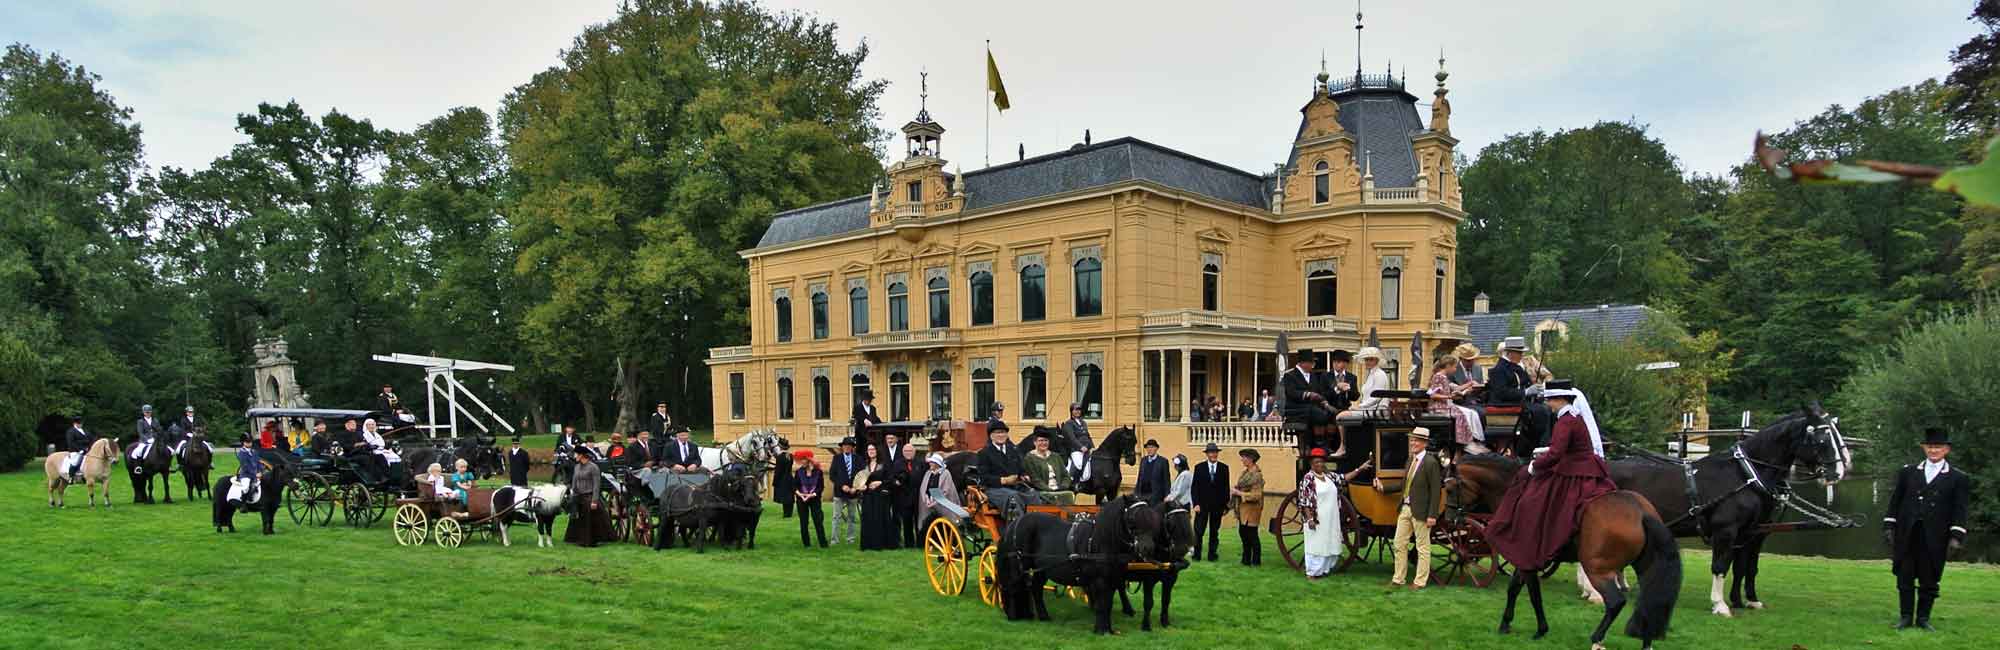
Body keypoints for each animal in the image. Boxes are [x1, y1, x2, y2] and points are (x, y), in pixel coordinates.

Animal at [996, 496, 1168, 632]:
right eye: (1132, 519)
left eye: (1151, 519)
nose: (1147, 548)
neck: (1099, 541)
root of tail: (1015, 522)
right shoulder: (1099, 581)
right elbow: (1101, 605)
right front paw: (1100, 630)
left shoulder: (1112, 580)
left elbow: (1108, 604)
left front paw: (1108, 629)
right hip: (1019, 565)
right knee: (1013, 586)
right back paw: (1013, 616)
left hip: (1041, 569)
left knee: (1036, 588)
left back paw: (1044, 616)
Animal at [1448, 454, 1680, 648]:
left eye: (1449, 489)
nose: (1451, 520)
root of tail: (1641, 512)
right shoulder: (1523, 560)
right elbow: (1513, 589)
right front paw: (1506, 624)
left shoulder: (1528, 559)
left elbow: (1533, 595)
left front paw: (1540, 629)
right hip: (1644, 568)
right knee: (1650, 601)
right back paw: (1646, 641)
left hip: (1597, 569)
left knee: (1615, 602)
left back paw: (1597, 639)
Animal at [1600, 402, 1848, 616]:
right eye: (1822, 437)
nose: (1839, 471)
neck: (1745, 474)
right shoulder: (1726, 530)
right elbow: (1721, 566)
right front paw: (1720, 605)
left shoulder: (1751, 531)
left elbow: (1745, 567)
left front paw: (1746, 600)